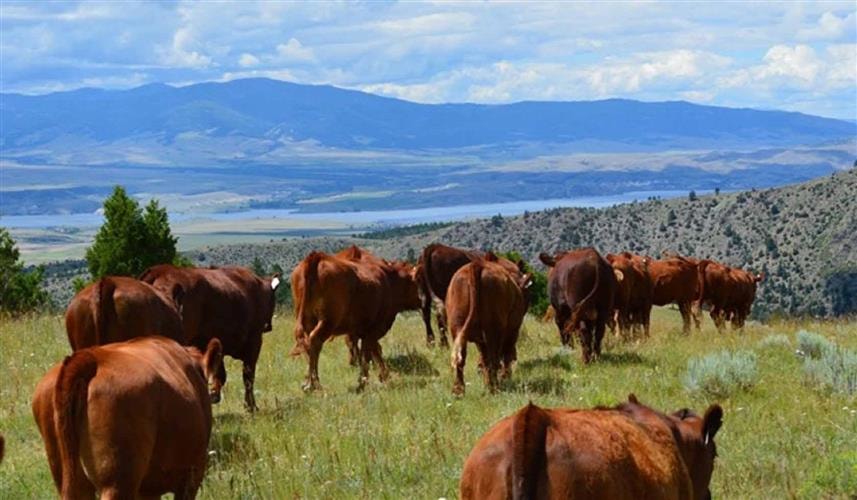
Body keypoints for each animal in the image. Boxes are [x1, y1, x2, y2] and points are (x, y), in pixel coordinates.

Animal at [139, 264, 280, 411]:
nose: (269, 326)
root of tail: (160, 270)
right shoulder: (254, 341)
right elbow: (248, 376)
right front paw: (251, 406)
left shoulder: (217, 345)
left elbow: (220, 374)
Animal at [290, 249, 420, 391]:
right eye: (417, 282)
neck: (389, 281)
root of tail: (317, 257)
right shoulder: (374, 329)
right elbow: (369, 353)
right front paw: (366, 380)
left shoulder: (361, 330)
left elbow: (372, 351)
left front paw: (381, 376)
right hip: (328, 321)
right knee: (315, 341)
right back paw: (314, 384)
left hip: (307, 319)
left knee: (306, 344)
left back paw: (309, 382)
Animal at [446, 254, 533, 395]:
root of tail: (476, 265)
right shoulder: (513, 330)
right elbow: (507, 353)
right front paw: (506, 376)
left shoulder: (481, 340)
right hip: (494, 330)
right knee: (493, 359)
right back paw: (494, 387)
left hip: (456, 326)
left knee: (461, 358)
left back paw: (459, 390)